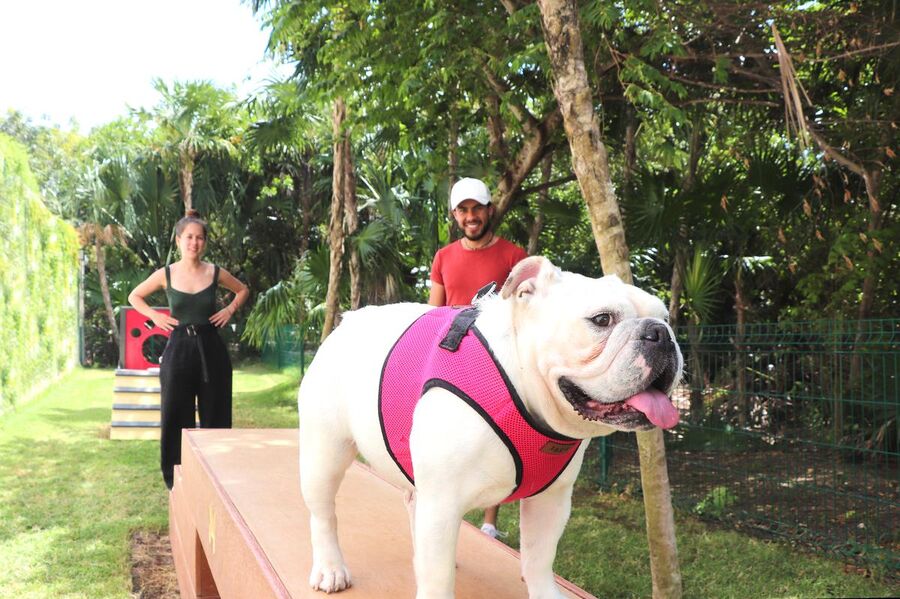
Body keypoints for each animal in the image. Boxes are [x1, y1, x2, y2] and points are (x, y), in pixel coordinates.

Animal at [298, 256, 683, 598]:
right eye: (602, 319)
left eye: (666, 318)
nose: (661, 333)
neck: (520, 385)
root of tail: (347, 322)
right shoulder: (442, 504)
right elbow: (438, 580)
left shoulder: (551, 501)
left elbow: (540, 558)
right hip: (325, 454)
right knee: (323, 513)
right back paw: (331, 568)